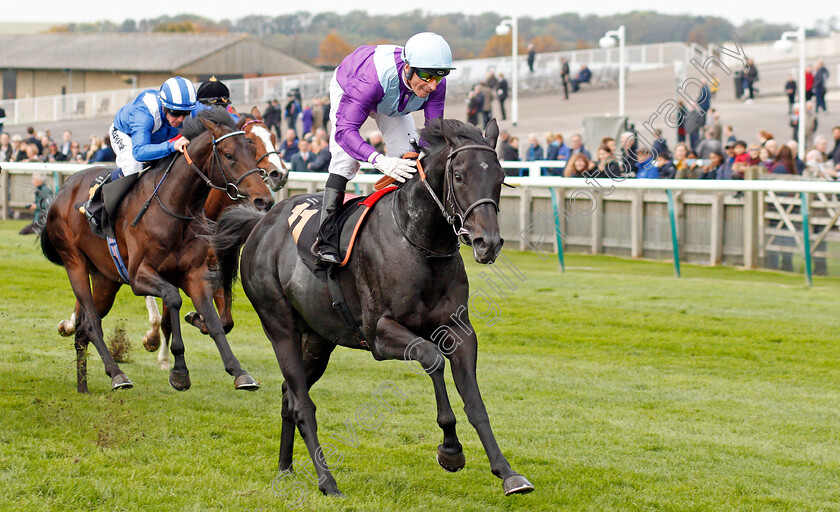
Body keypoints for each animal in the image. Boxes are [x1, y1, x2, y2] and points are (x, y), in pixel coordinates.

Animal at [41, 109, 272, 392]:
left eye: (251, 149)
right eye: (229, 155)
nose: (264, 199)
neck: (175, 207)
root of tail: (62, 191)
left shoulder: (196, 274)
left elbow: (216, 321)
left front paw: (239, 371)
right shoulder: (139, 276)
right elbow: (172, 301)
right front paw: (179, 370)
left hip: (106, 279)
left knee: (85, 326)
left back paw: (83, 386)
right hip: (74, 262)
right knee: (92, 322)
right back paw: (117, 374)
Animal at [213, 119, 536, 496]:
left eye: (500, 177)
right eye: (458, 176)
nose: (489, 243)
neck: (419, 243)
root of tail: (260, 225)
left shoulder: (460, 331)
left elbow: (475, 401)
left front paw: (508, 472)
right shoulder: (380, 333)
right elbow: (432, 358)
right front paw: (450, 449)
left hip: (318, 340)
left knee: (288, 395)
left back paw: (285, 468)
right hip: (280, 327)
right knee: (303, 404)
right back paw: (328, 481)